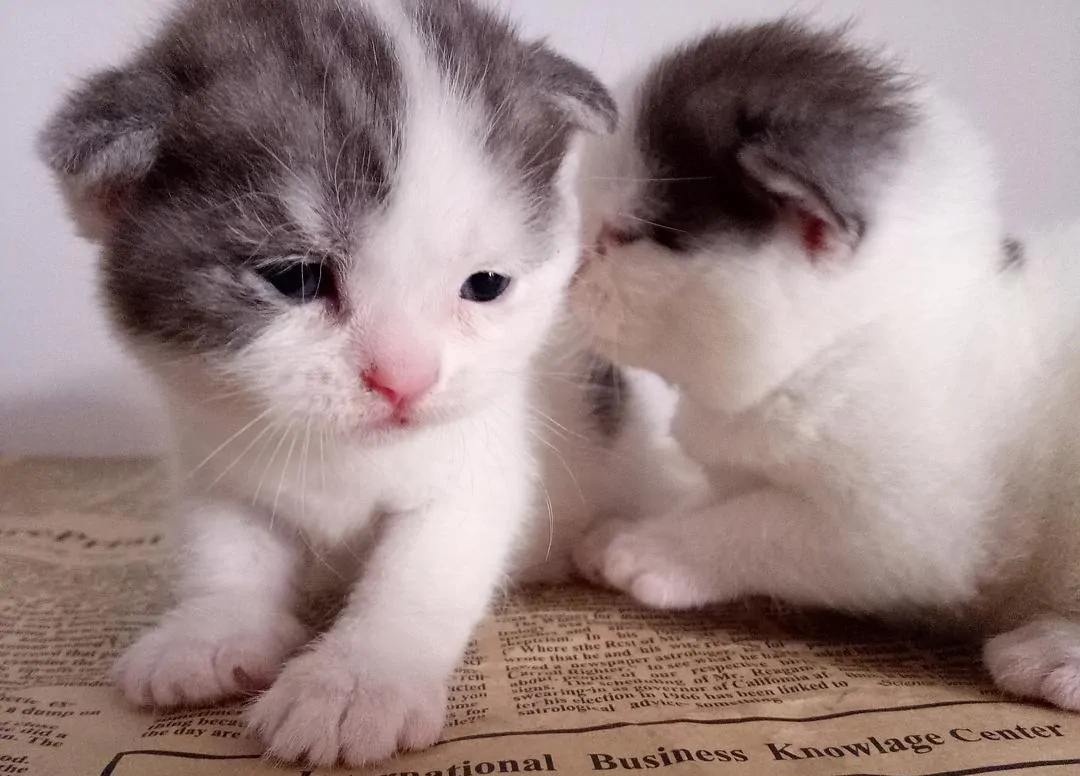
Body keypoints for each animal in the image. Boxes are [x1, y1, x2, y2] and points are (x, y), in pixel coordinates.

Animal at [39, 0, 691, 764]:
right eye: (294, 278)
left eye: (486, 285)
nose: (404, 380)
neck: (343, 458)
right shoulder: (213, 454)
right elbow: (226, 544)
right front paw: (209, 628)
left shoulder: (480, 466)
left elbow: (417, 575)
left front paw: (355, 682)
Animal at [570, 22, 1080, 716]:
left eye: (627, 236)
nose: (564, 276)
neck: (837, 349)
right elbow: (716, 494)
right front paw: (643, 524)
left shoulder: (907, 527)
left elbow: (766, 523)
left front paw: (652, 551)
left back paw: (1052, 654)